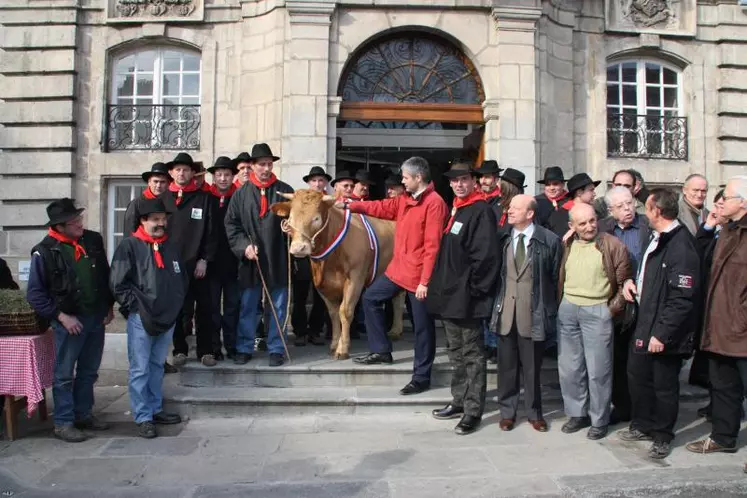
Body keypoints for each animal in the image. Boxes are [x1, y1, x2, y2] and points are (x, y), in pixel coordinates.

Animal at [274, 190, 406, 358]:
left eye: (316, 218)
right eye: (290, 219)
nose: (299, 248)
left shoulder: (355, 278)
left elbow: (345, 311)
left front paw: (342, 348)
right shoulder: (322, 284)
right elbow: (333, 313)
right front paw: (335, 343)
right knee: (398, 298)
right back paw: (395, 330)